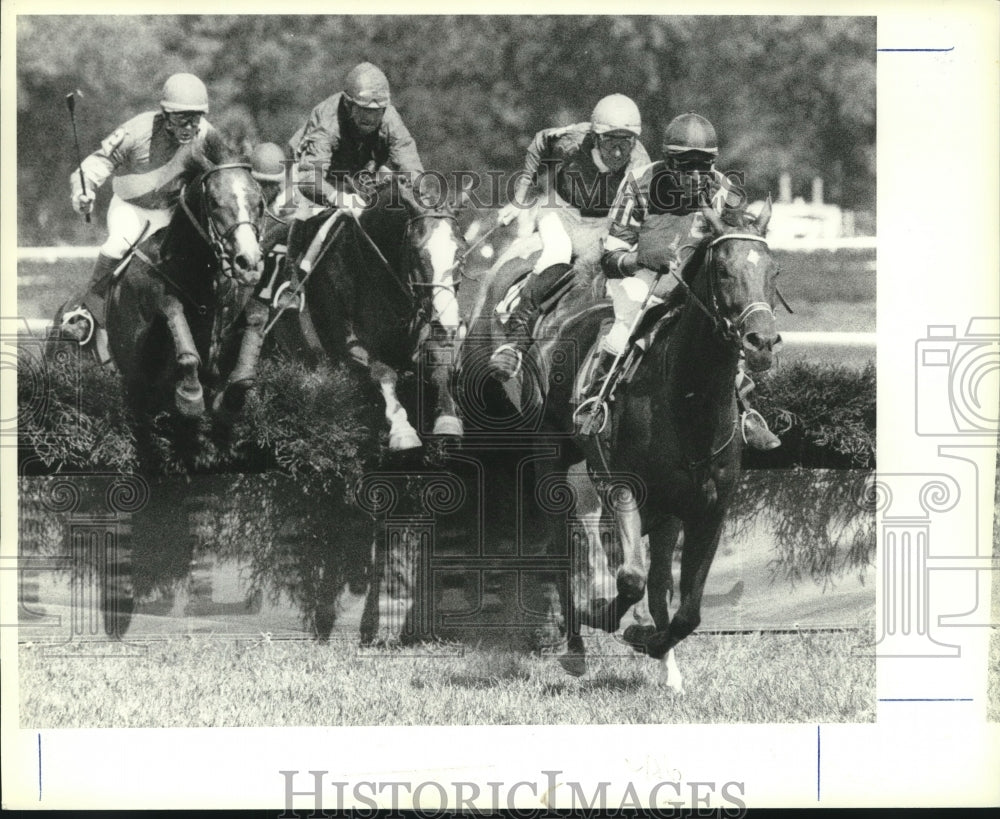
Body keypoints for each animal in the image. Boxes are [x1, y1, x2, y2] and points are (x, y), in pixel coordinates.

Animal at [98, 157, 266, 422]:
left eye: (259, 203)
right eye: (214, 202)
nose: (248, 262)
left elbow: (258, 314)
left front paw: (232, 394)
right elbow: (172, 310)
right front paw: (190, 394)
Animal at [290, 175, 468, 452]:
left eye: (460, 252)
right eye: (417, 252)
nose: (447, 326)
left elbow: (439, 364)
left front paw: (447, 420)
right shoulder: (348, 345)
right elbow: (383, 373)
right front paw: (403, 431)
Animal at [472, 202, 776, 688]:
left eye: (773, 270)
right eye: (724, 270)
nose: (762, 342)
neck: (688, 399)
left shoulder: (709, 510)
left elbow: (686, 609)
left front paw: (650, 641)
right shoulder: (624, 489)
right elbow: (629, 577)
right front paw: (603, 617)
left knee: (658, 583)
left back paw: (666, 666)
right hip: (551, 455)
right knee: (563, 551)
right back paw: (576, 646)